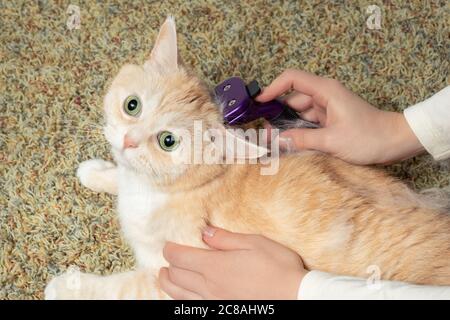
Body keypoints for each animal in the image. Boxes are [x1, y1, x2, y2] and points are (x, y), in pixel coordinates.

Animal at [44, 16, 450, 298]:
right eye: (132, 105)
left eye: (168, 141)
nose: (128, 141)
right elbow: (120, 175)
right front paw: (97, 171)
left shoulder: (176, 275)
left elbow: (124, 287)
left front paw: (67, 286)